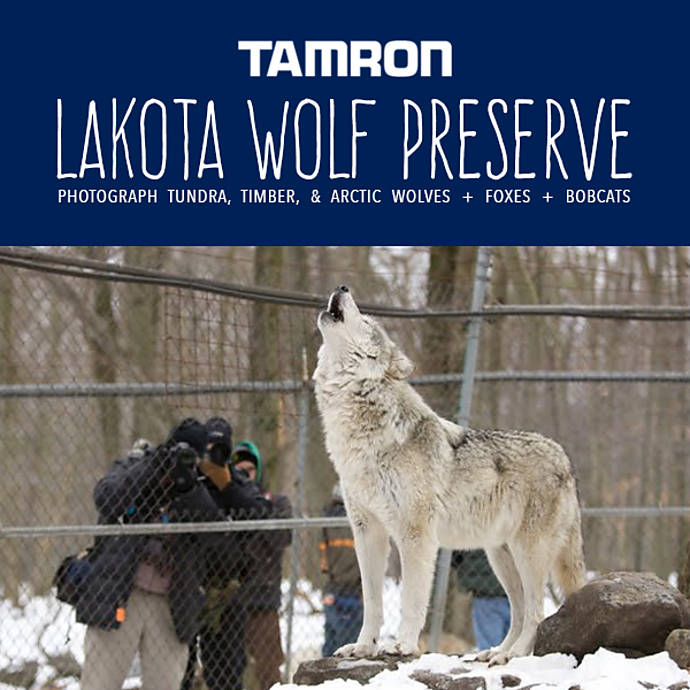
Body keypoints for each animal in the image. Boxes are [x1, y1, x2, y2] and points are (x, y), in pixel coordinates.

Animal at [313, 286, 586, 665]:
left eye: (366, 322)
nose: (342, 288)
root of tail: (563, 457)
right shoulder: (367, 531)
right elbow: (372, 601)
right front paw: (363, 647)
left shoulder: (416, 535)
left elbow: (412, 599)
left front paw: (403, 645)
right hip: (500, 558)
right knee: (517, 613)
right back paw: (496, 653)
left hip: (527, 553)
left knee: (535, 612)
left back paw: (514, 656)